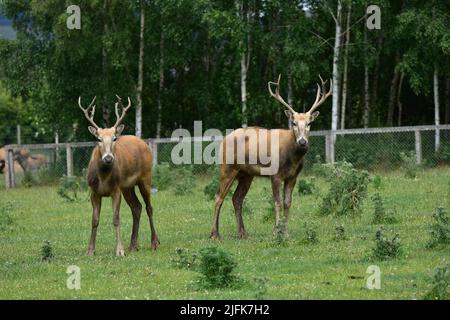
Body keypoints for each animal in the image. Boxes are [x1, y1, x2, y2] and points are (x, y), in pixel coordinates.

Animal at [79, 95, 160, 258]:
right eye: (98, 139)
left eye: (114, 138)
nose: (108, 158)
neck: (103, 178)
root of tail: (143, 142)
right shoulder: (93, 191)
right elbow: (94, 220)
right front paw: (90, 250)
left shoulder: (116, 189)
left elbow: (116, 219)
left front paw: (119, 250)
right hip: (127, 187)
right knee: (137, 207)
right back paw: (133, 245)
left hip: (145, 177)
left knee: (149, 207)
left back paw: (154, 243)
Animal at [210, 75, 330, 240]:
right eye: (293, 123)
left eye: (309, 123)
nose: (302, 142)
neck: (292, 158)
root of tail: (223, 140)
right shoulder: (275, 174)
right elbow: (277, 202)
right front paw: (276, 232)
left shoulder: (293, 177)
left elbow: (287, 203)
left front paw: (285, 233)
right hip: (227, 167)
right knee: (218, 197)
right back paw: (215, 234)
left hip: (246, 174)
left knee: (237, 198)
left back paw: (243, 233)